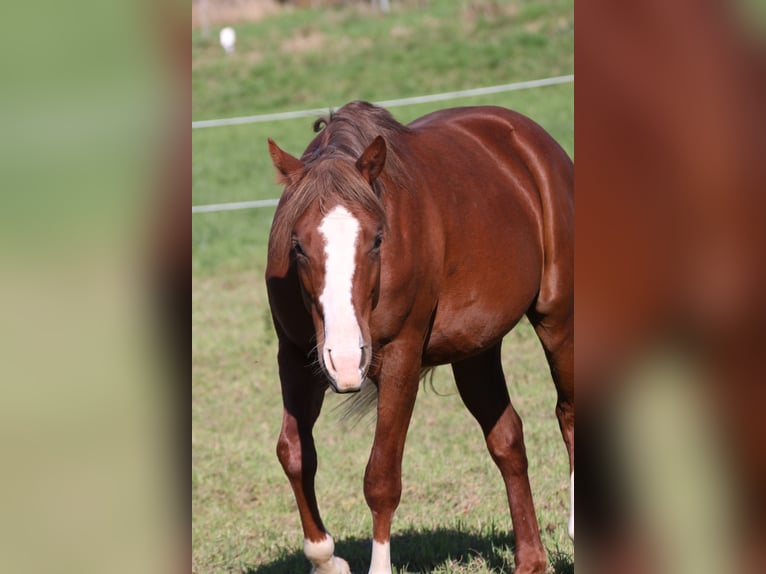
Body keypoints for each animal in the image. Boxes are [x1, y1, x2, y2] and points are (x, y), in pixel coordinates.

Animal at [268, 101, 572, 572]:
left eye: (378, 239)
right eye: (297, 245)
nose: (345, 359)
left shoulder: (400, 359)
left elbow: (381, 478)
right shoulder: (296, 358)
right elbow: (296, 455)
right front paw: (327, 560)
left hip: (556, 318)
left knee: (568, 411)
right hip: (476, 351)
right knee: (507, 440)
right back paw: (530, 560)